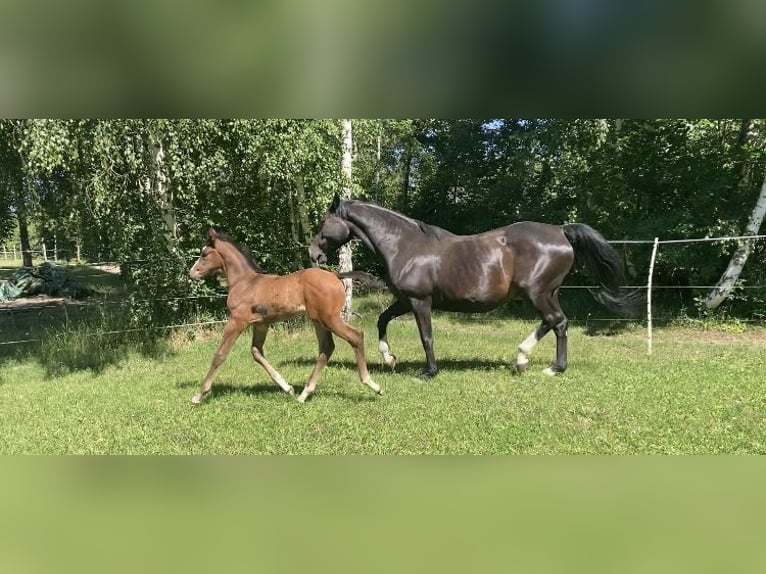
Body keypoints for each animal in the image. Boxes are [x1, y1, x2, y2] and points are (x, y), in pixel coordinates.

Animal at [190, 230, 382, 404]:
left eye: (204, 254)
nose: (192, 273)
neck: (245, 283)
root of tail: (335, 275)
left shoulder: (237, 320)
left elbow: (220, 355)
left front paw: (198, 395)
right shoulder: (261, 324)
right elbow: (256, 352)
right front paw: (287, 387)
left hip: (330, 318)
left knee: (355, 336)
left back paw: (372, 384)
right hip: (318, 320)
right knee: (326, 348)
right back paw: (304, 394)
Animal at [308, 196, 640, 380]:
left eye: (324, 221)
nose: (314, 254)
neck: (405, 245)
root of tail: (561, 230)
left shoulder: (420, 301)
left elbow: (426, 337)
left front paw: (428, 372)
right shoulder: (404, 300)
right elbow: (381, 320)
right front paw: (389, 358)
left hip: (537, 293)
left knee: (556, 322)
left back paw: (548, 367)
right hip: (547, 293)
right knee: (556, 323)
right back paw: (524, 360)